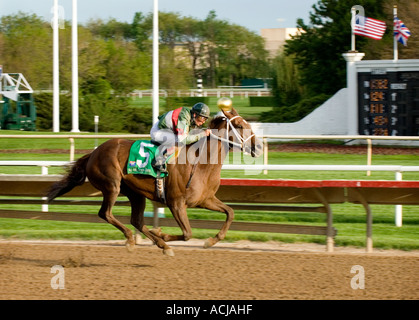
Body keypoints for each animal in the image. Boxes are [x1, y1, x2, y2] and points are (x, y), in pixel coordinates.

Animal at [46, 109, 262, 256]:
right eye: (240, 125)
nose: (258, 147)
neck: (199, 163)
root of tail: (93, 153)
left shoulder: (205, 200)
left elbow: (230, 212)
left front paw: (210, 241)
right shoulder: (176, 203)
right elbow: (187, 233)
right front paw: (163, 234)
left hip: (135, 193)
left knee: (137, 221)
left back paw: (161, 244)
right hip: (112, 185)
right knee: (105, 213)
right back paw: (133, 239)